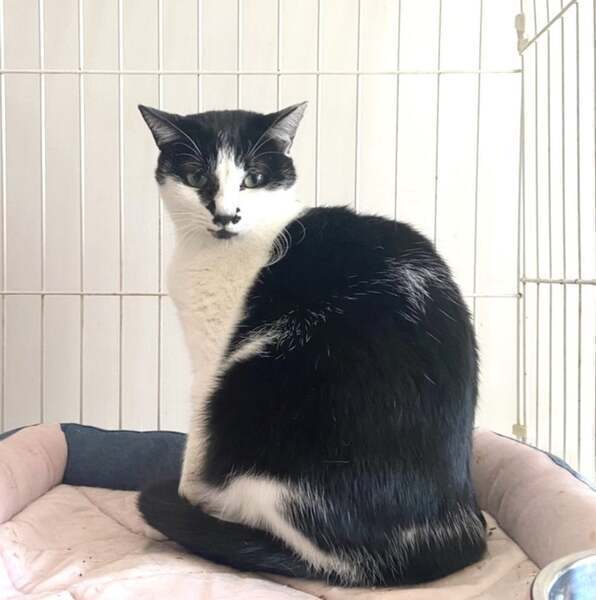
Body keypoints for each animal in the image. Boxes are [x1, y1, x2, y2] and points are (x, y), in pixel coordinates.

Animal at [137, 102, 487, 587]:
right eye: (195, 177)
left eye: (253, 179)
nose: (226, 215)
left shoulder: (211, 365)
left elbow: (196, 442)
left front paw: (186, 494)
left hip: (250, 383)